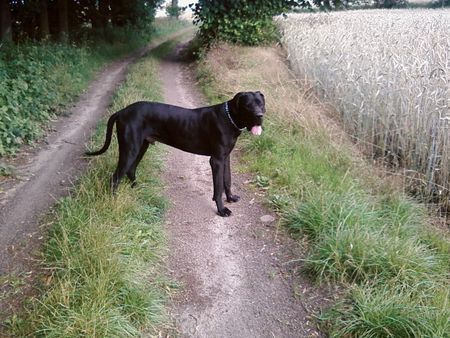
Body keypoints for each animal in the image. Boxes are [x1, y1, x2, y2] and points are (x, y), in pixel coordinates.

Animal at [86, 90, 266, 217]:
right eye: (248, 105)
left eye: (262, 104)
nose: (260, 116)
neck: (230, 118)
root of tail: (121, 111)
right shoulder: (216, 160)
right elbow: (218, 186)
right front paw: (222, 209)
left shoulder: (225, 158)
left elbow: (227, 180)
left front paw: (230, 197)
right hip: (130, 149)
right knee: (115, 178)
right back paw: (114, 201)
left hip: (141, 146)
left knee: (130, 170)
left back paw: (137, 188)